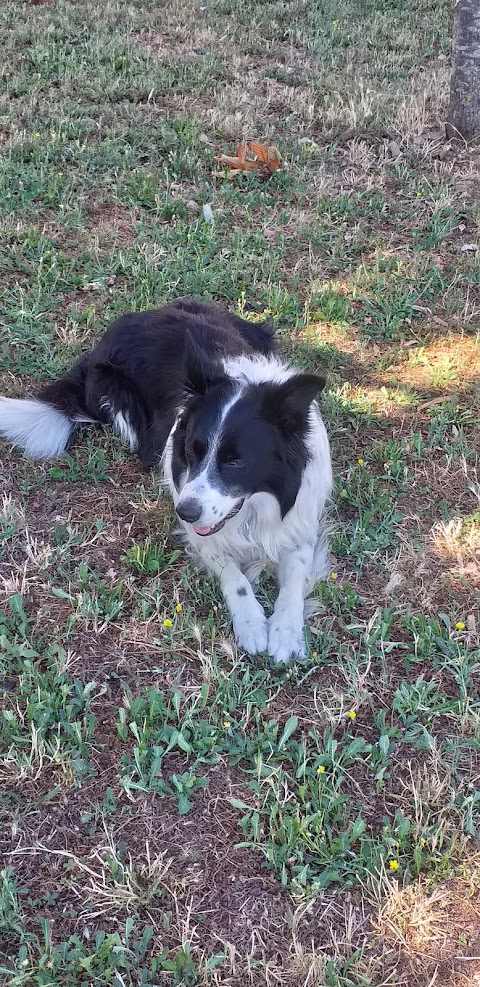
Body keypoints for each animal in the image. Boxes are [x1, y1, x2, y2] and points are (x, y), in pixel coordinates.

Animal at [0, 296, 332, 664]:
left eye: (236, 461)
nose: (184, 511)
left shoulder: (301, 520)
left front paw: (286, 631)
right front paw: (252, 624)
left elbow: (295, 576)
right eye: (190, 450)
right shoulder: (201, 532)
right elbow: (233, 575)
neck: (257, 507)